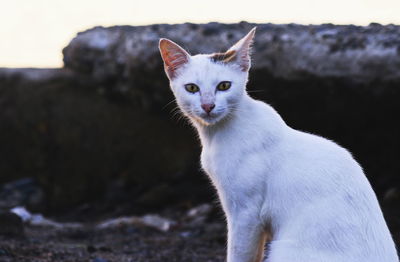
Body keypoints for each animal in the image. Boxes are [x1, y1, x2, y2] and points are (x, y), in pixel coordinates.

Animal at [158, 27, 398, 260]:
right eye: (192, 88)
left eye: (224, 86)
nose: (208, 105)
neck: (215, 134)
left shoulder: (246, 213)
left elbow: (238, 254)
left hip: (281, 249)